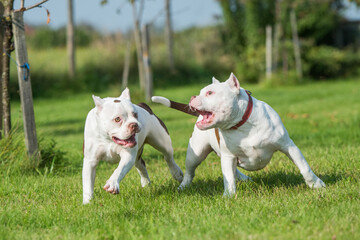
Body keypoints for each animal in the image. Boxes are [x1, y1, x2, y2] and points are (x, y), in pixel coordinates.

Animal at [150, 73, 324, 197]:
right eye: (200, 93)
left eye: (210, 93)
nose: (193, 97)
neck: (242, 125)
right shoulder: (228, 156)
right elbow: (228, 178)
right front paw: (228, 196)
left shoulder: (288, 146)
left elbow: (304, 167)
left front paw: (316, 185)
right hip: (196, 154)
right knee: (190, 172)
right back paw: (183, 186)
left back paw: (244, 178)